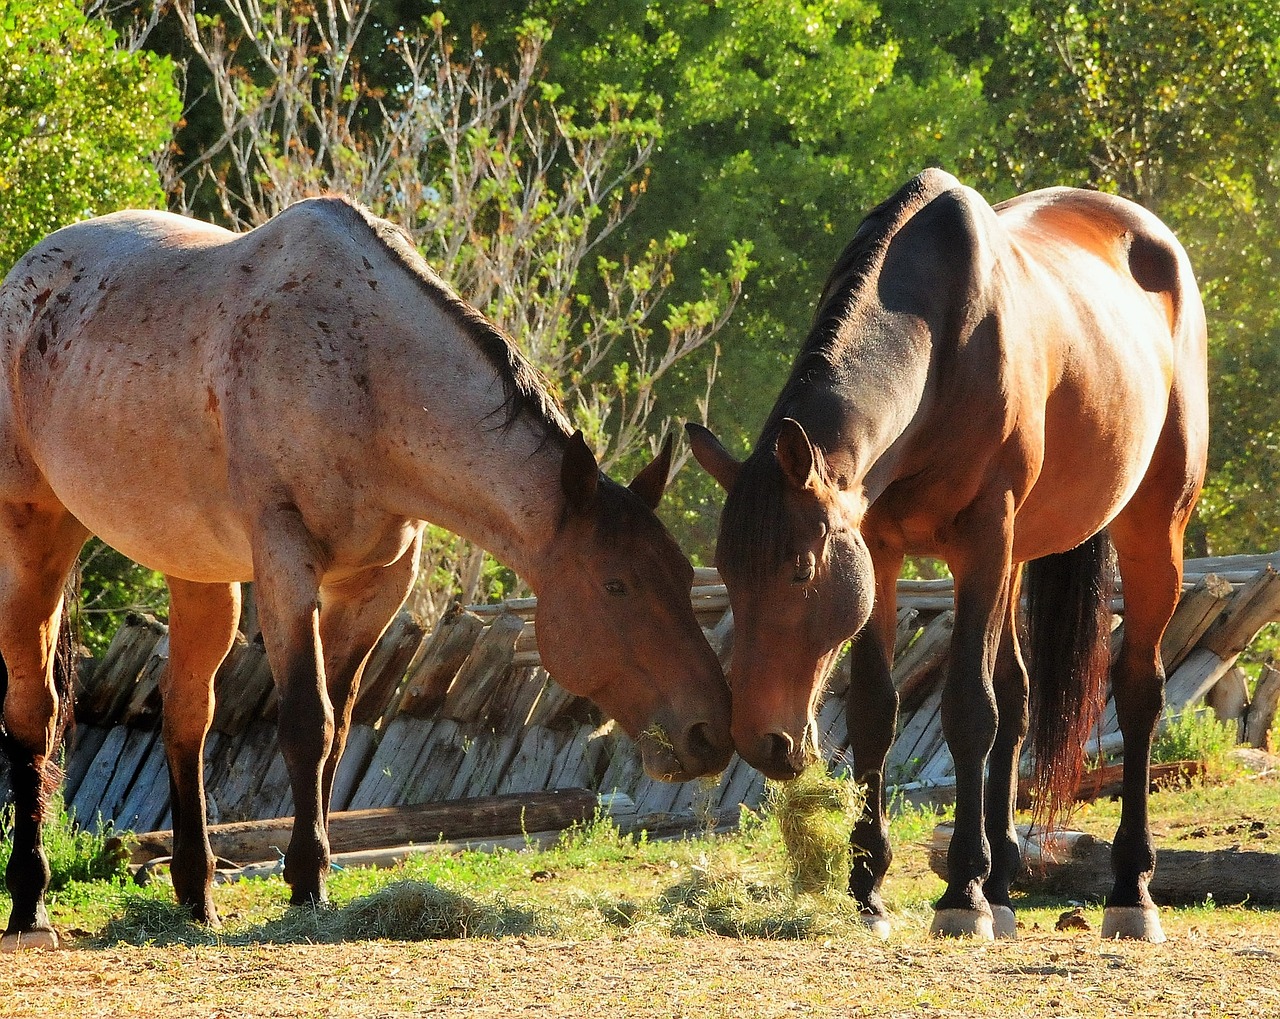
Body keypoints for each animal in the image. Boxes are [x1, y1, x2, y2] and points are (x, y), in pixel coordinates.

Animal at [0, 193, 737, 947]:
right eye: (615, 586)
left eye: (684, 578)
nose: (710, 733)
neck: (362, 373)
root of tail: (27, 276)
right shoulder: (287, 566)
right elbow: (308, 721)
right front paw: (305, 882)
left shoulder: (375, 586)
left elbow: (338, 728)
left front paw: (313, 870)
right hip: (35, 535)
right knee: (35, 712)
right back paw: (30, 902)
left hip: (198, 572)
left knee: (186, 715)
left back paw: (197, 893)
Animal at [686, 167, 1203, 937]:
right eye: (727, 572)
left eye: (801, 570)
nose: (761, 740)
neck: (941, 344)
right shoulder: (880, 548)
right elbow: (877, 710)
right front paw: (869, 887)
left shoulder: (982, 540)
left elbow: (968, 708)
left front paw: (962, 892)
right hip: (1022, 552)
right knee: (1019, 693)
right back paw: (1008, 882)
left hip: (1151, 527)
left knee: (1139, 689)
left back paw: (1129, 891)